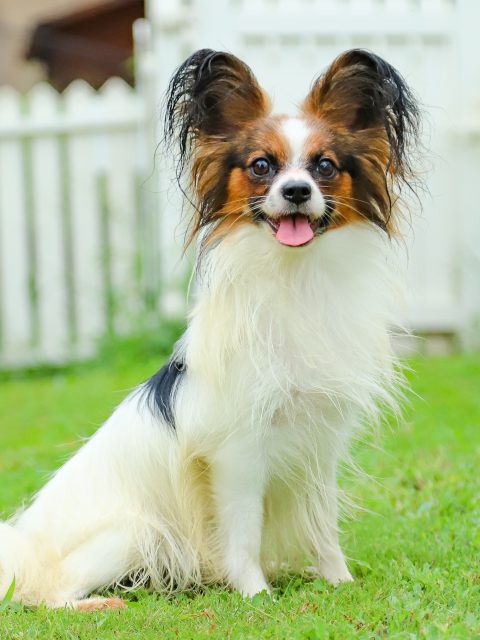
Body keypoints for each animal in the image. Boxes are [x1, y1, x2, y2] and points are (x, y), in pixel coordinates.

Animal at [0, 48, 420, 609]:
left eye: (324, 166)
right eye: (261, 166)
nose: (296, 191)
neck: (295, 278)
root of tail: (25, 549)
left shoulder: (319, 445)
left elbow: (323, 526)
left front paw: (340, 583)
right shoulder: (236, 453)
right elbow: (242, 533)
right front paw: (256, 596)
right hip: (135, 532)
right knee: (48, 595)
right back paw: (99, 602)